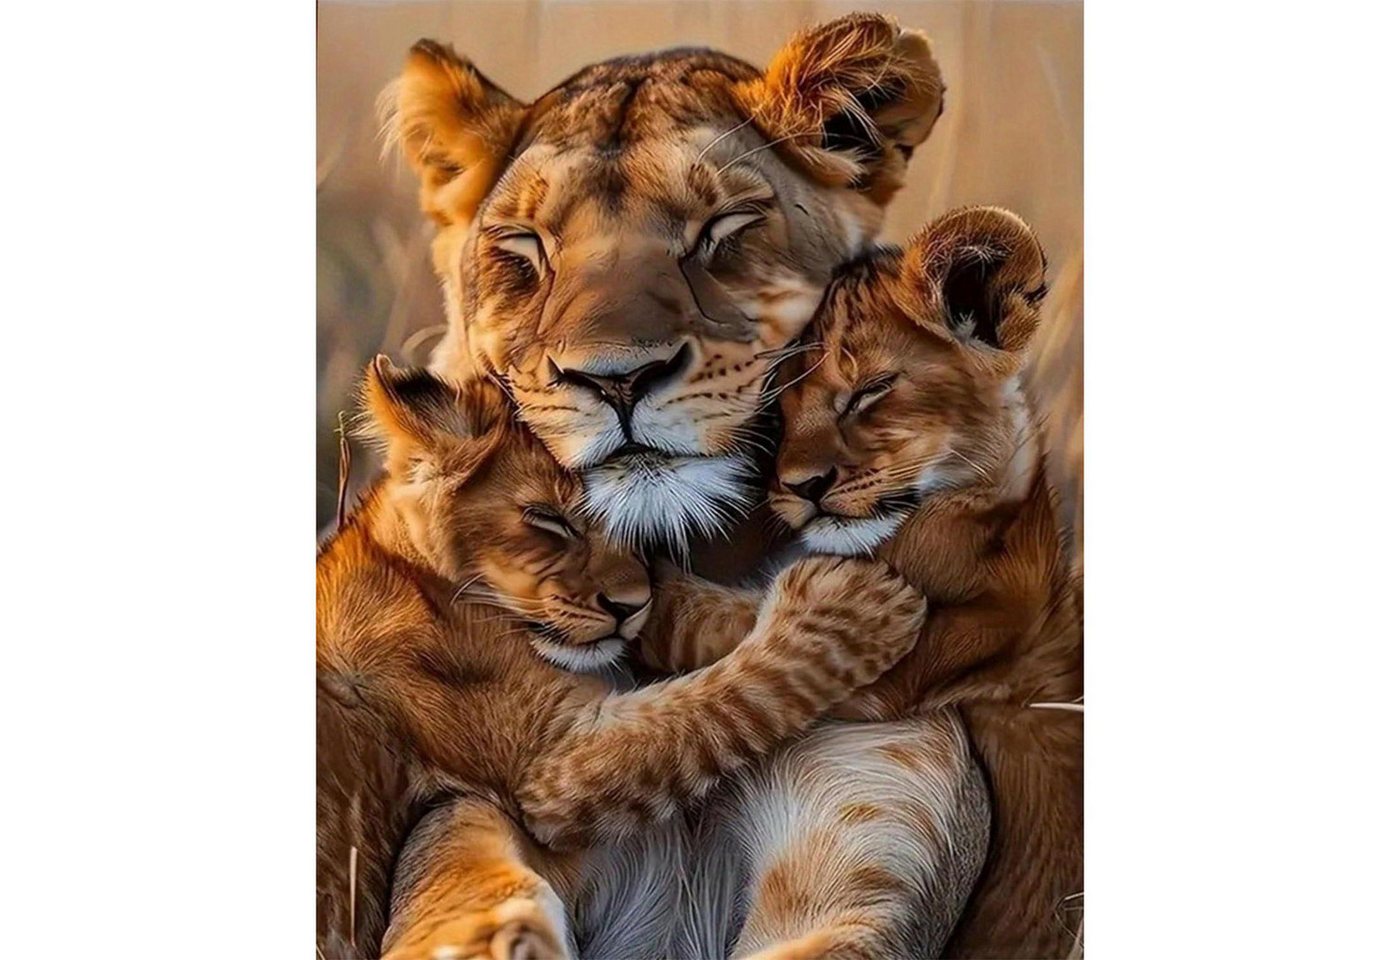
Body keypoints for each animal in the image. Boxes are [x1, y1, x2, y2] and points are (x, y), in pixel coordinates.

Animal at [316, 357, 928, 959]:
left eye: (633, 527)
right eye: (548, 518)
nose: (627, 605)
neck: (415, 573)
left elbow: (704, 631)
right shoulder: (554, 762)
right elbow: (717, 702)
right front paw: (858, 604)